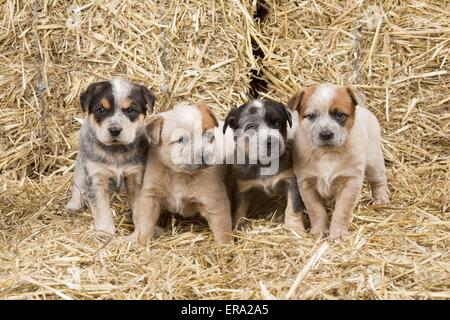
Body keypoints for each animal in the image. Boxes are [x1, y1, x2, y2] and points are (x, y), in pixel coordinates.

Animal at [66, 79, 156, 235]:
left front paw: (140, 230)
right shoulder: (96, 179)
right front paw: (105, 232)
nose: (114, 130)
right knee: (78, 181)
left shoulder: (136, 177)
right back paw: (74, 205)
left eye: (130, 110)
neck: (116, 151)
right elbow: (102, 210)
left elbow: (140, 207)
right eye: (101, 109)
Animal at [126, 101, 232, 244]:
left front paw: (226, 247)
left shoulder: (215, 201)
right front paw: (139, 240)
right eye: (181, 139)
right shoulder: (150, 194)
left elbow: (222, 230)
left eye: (210, 137)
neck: (180, 175)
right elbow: (145, 222)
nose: (204, 155)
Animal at [222, 99, 306, 231]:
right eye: (250, 127)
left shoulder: (291, 180)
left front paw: (295, 228)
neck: (264, 164)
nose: (271, 141)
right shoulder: (241, 187)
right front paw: (239, 227)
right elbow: (239, 210)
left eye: (277, 123)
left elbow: (293, 207)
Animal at [288, 84, 390, 240]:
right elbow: (316, 211)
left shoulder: (350, 182)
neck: (327, 154)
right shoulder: (306, 184)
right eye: (311, 116)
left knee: (378, 181)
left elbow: (342, 211)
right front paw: (319, 231)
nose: (325, 134)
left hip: (374, 160)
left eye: (339, 114)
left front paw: (338, 234)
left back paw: (381, 201)